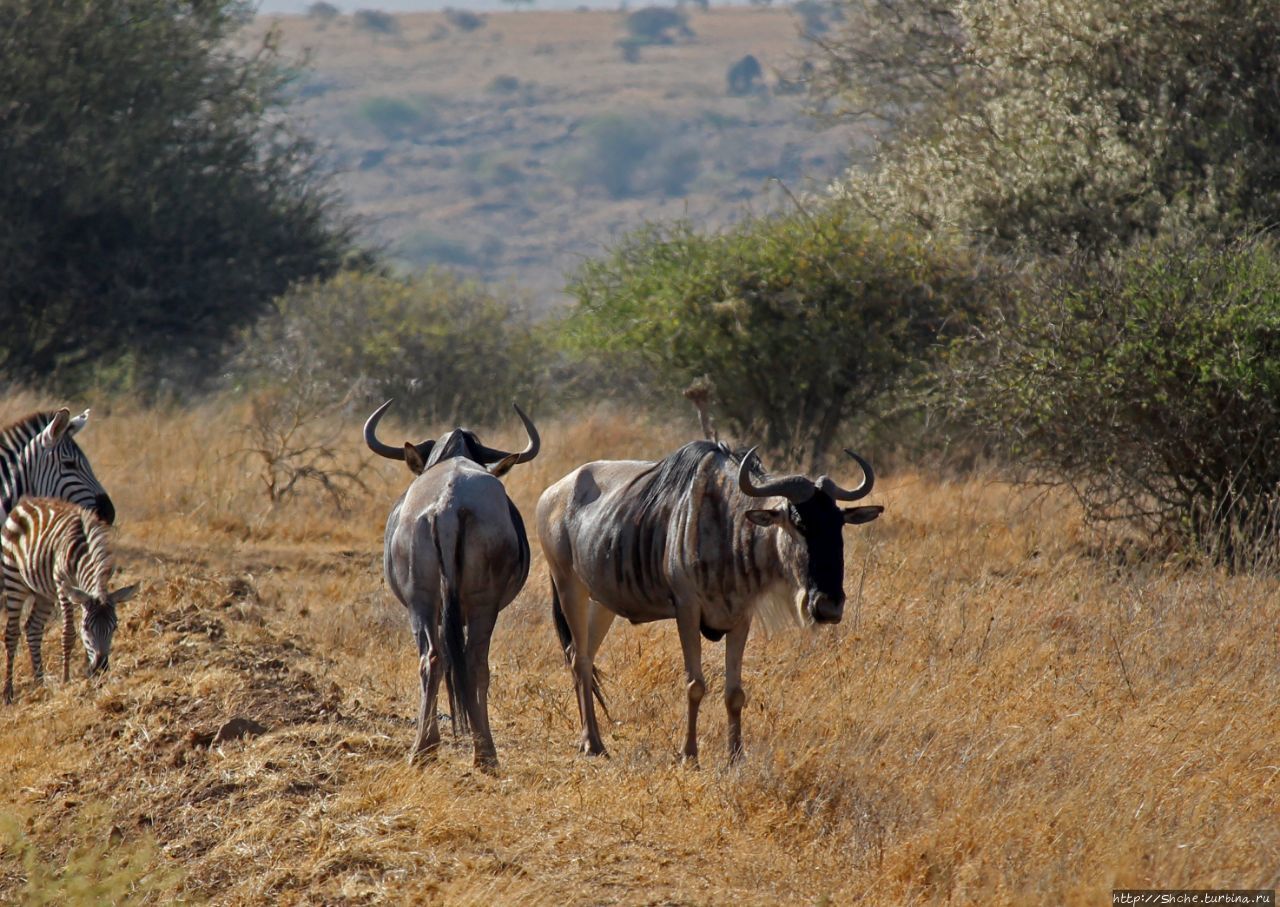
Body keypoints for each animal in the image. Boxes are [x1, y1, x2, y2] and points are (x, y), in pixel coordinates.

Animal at [2, 496, 136, 701]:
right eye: (87, 628)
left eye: (115, 627)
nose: (100, 668)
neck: (84, 550)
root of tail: (25, 500)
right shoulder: (62, 584)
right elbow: (68, 634)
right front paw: (66, 679)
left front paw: (87, 669)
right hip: (14, 578)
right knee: (11, 633)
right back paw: (8, 693)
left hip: (44, 593)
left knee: (33, 628)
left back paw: (39, 683)